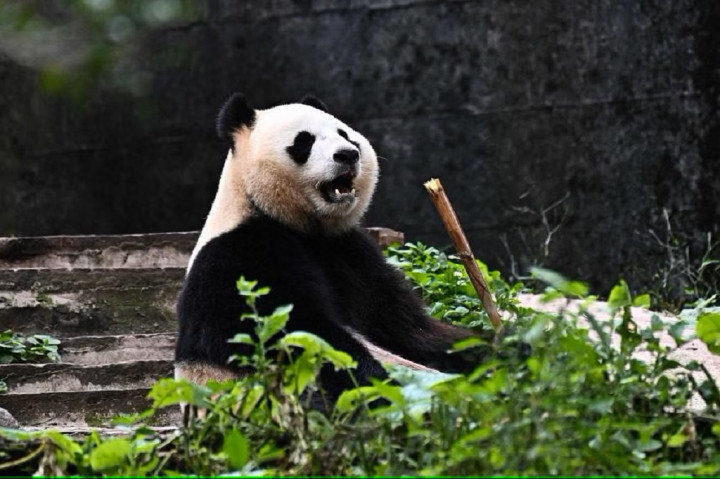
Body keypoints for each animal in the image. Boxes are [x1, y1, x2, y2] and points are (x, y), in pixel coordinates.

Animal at [175, 93, 484, 404]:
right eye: (304, 141)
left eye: (345, 135)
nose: (348, 154)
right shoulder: (240, 255)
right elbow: (292, 334)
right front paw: (385, 384)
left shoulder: (351, 252)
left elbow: (407, 327)